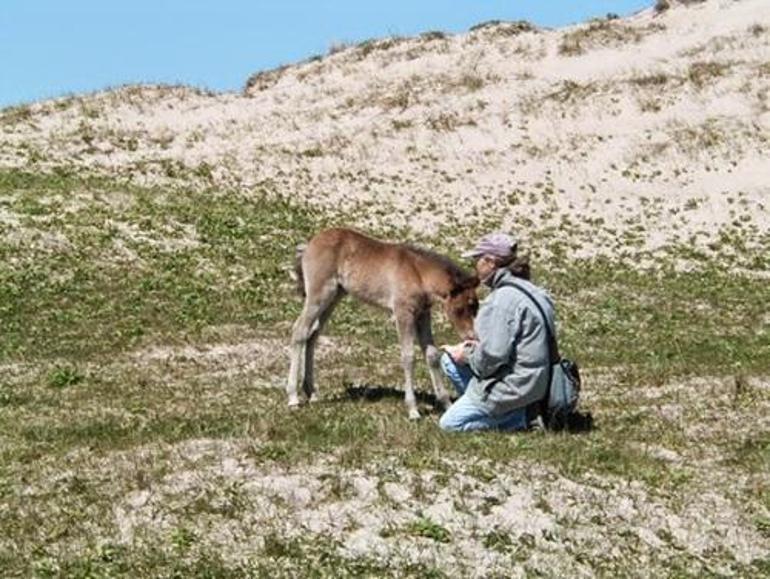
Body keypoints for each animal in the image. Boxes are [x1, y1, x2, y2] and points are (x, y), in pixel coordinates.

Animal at [288, 225, 476, 416]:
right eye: (460, 308)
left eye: (475, 306)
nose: (471, 336)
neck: (418, 273)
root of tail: (310, 244)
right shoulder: (403, 313)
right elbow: (408, 356)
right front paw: (413, 409)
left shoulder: (423, 314)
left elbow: (431, 355)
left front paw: (446, 403)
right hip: (318, 295)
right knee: (300, 331)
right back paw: (293, 397)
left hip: (334, 297)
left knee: (313, 334)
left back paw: (311, 392)